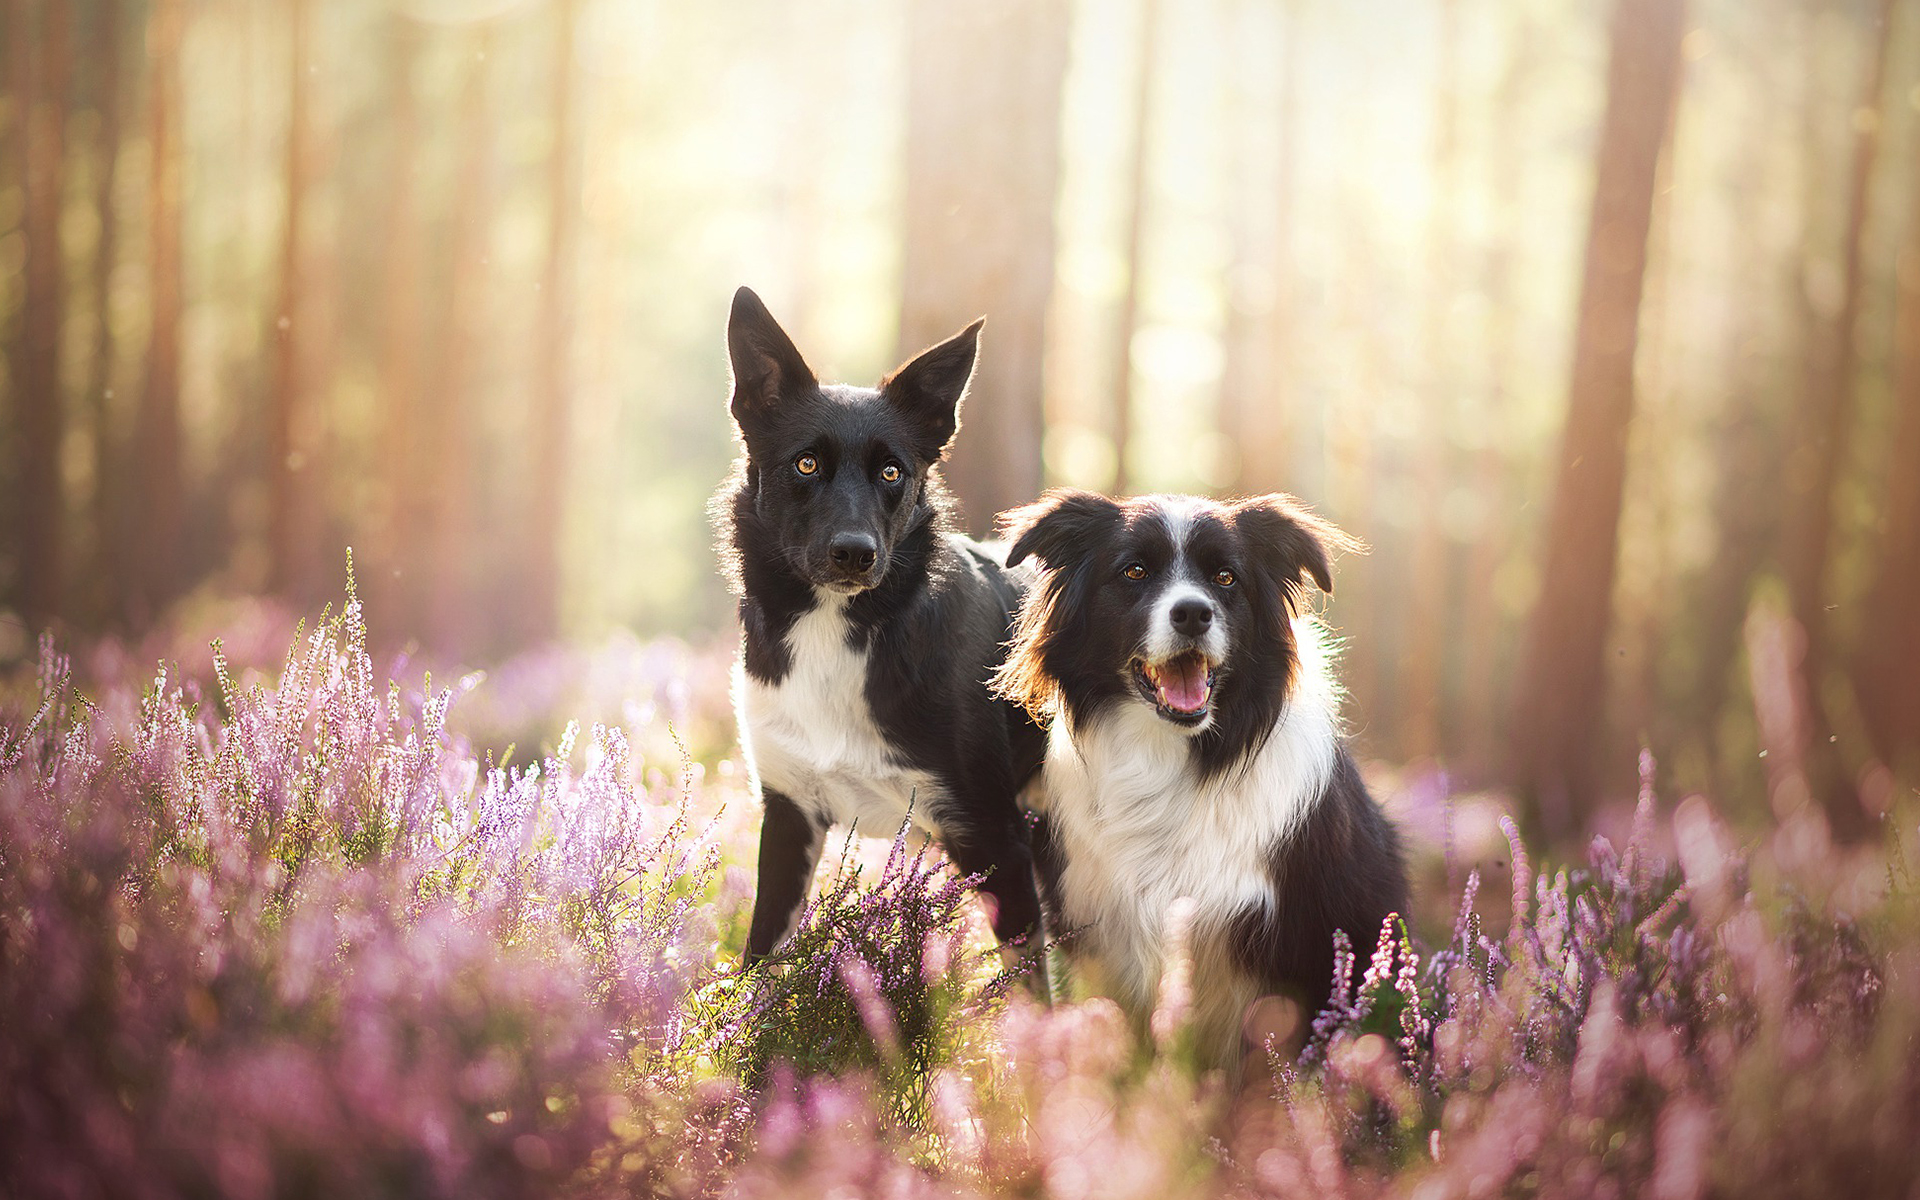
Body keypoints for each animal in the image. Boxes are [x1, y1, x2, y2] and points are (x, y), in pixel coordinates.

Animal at [718, 288, 1052, 983]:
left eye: (893, 472)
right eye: (806, 464)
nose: (854, 553)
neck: (838, 625)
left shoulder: (994, 837)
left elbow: (1031, 993)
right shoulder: (789, 819)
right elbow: (760, 966)